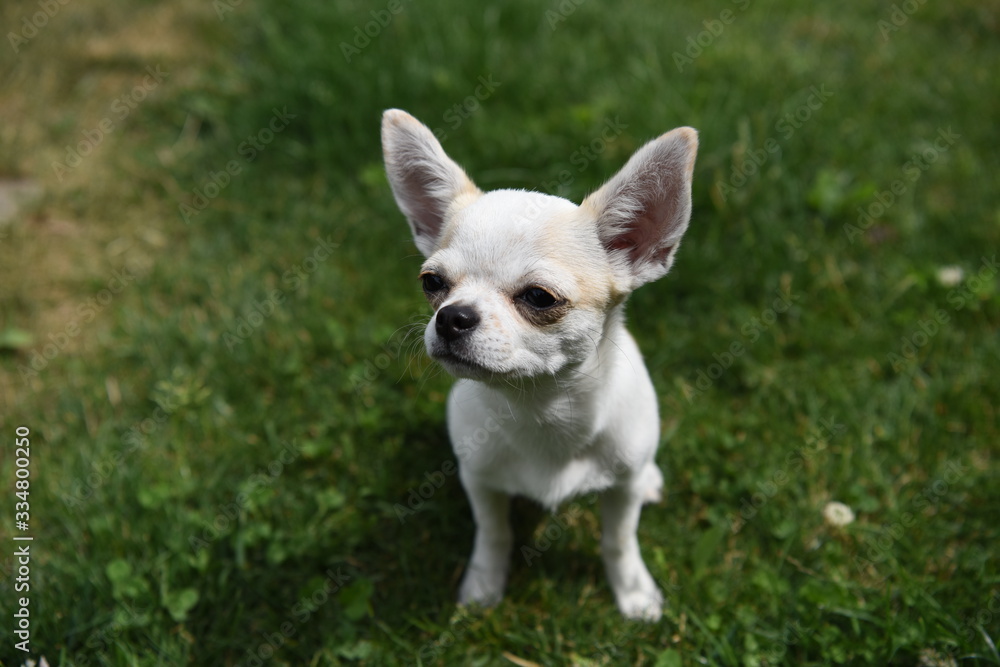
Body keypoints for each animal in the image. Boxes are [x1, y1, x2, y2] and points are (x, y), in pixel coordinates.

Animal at [378, 108, 700, 620]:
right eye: (431, 283)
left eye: (539, 297)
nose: (451, 316)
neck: (542, 409)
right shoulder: (480, 481)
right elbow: (494, 534)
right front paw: (484, 585)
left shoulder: (622, 492)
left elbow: (619, 541)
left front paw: (633, 594)